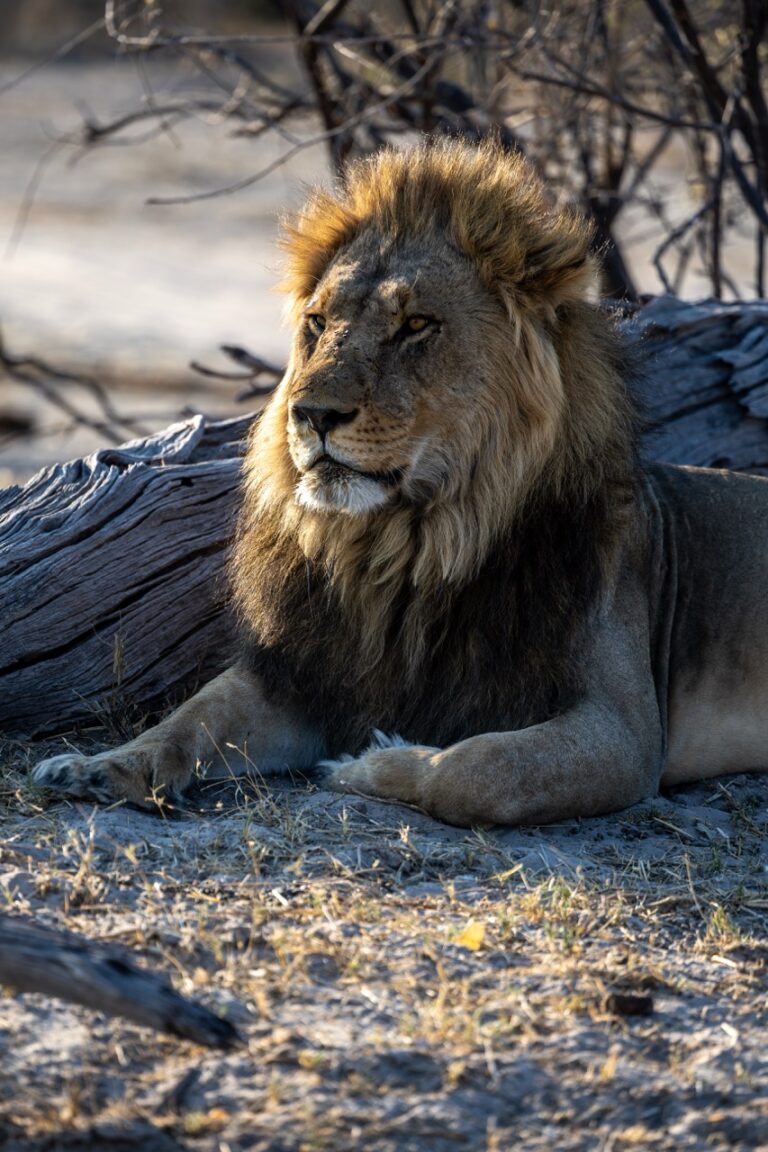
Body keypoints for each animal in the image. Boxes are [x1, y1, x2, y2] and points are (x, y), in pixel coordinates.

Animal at [32, 139, 768, 827]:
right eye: (319, 322)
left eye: (415, 325)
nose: (311, 414)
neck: (407, 551)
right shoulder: (306, 674)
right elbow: (192, 716)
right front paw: (98, 767)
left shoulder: (626, 732)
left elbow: (476, 770)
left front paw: (368, 762)